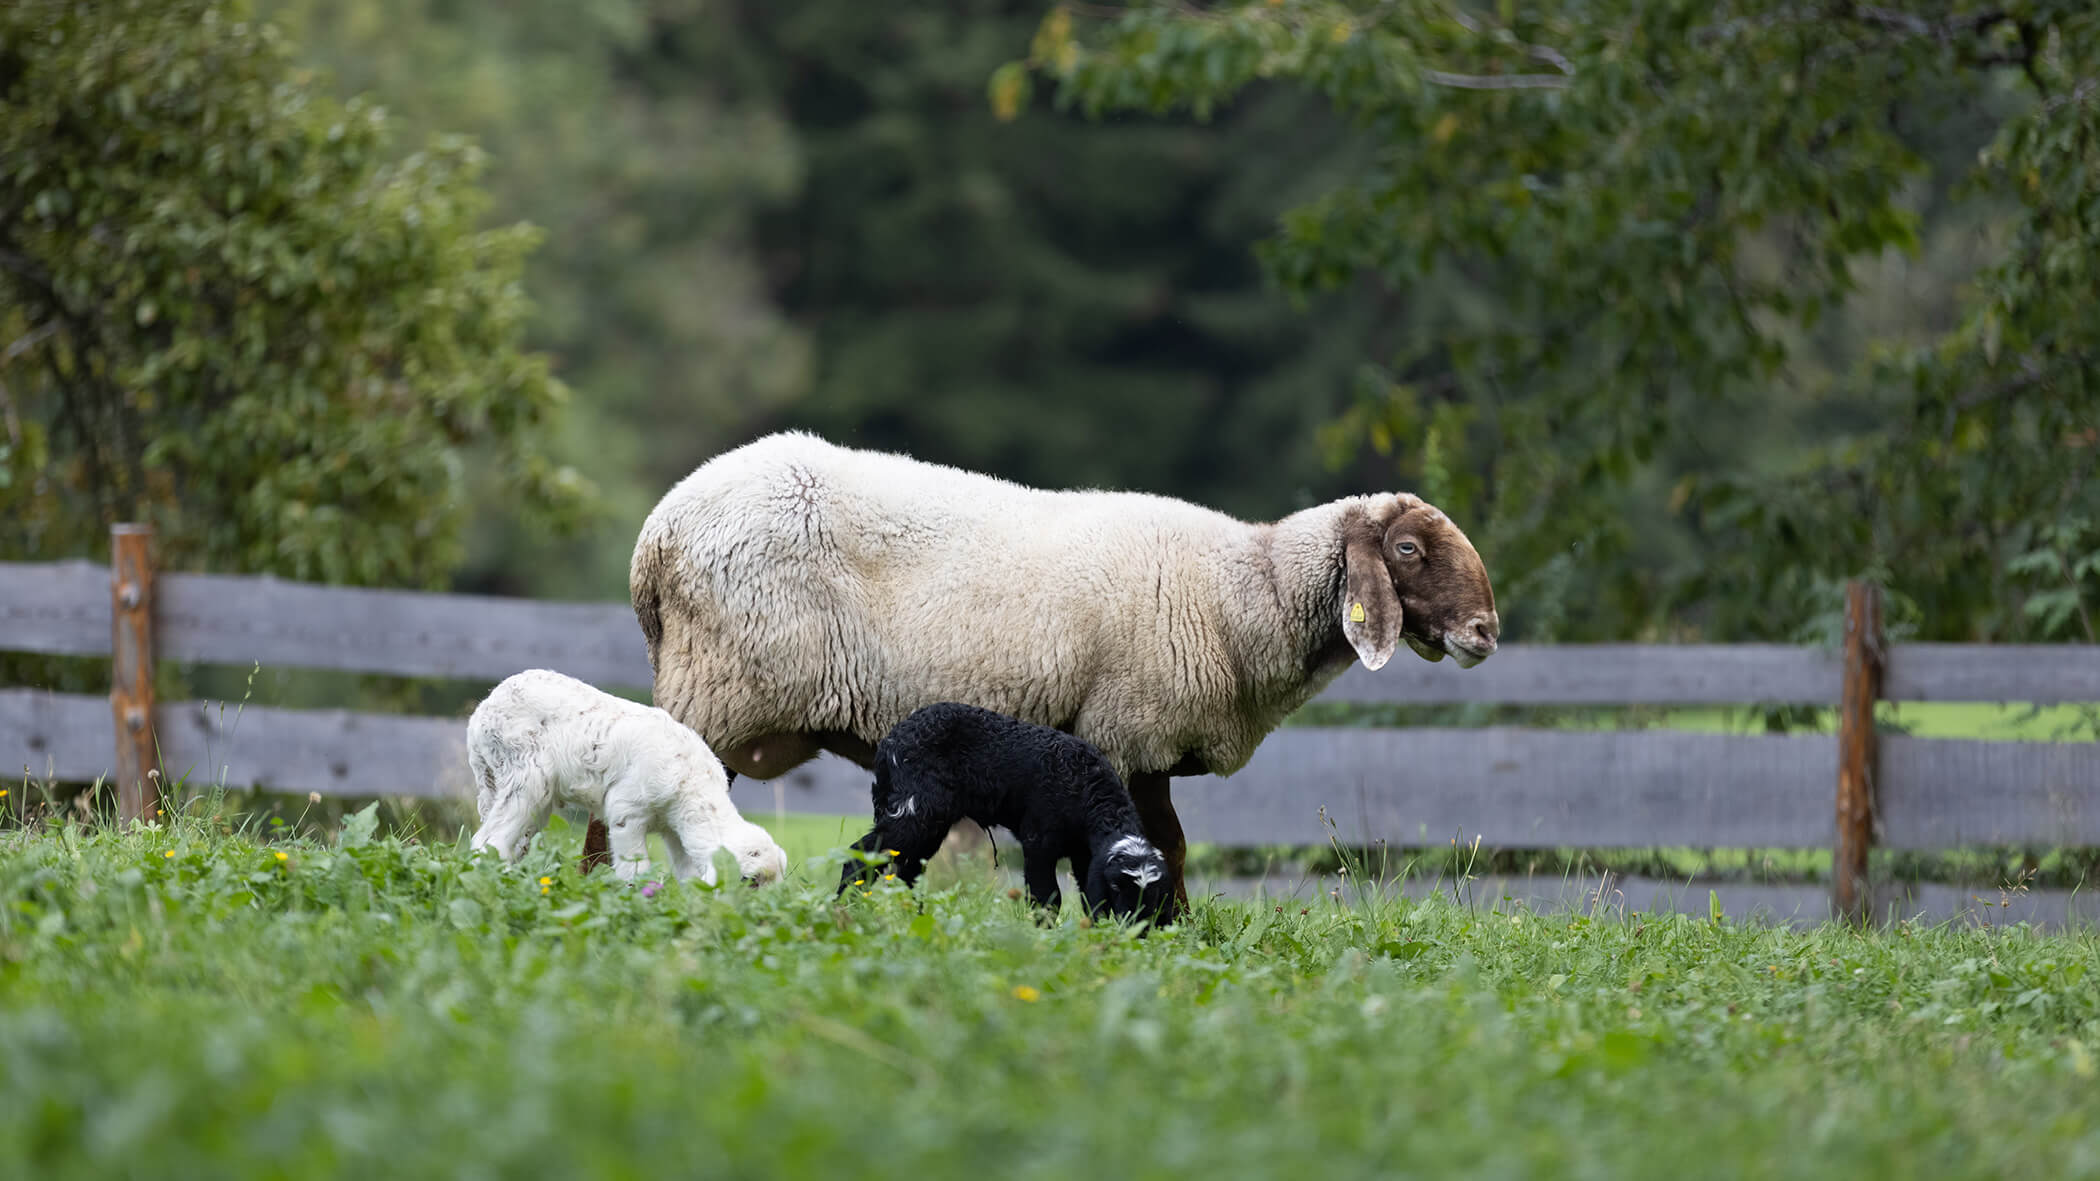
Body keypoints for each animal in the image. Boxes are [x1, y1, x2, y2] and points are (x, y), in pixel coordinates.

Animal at [468, 669, 787, 886]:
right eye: (750, 881)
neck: (693, 786)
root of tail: (482, 712)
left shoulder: (674, 828)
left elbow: (687, 870)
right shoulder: (628, 810)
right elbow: (635, 866)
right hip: (524, 772)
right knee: (489, 839)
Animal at [838, 702, 1174, 925]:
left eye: (1156, 895)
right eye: (1118, 886)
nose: (1138, 929)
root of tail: (890, 742)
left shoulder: (1085, 855)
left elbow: (1088, 898)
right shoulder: (1038, 839)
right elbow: (1047, 896)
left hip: (928, 820)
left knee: (908, 870)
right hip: (913, 808)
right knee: (861, 856)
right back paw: (843, 909)